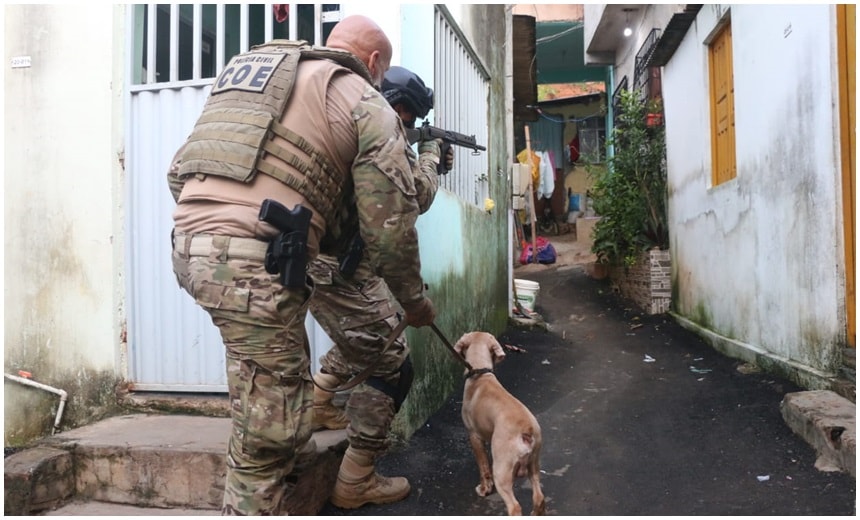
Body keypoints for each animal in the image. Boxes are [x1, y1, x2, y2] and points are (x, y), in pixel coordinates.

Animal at [454, 332, 548, 512]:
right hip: (534, 464)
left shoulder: (474, 436)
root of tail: (527, 429)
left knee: (515, 507)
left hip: (502, 471)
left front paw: (484, 489)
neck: (481, 375)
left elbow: (483, 467)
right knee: (539, 498)